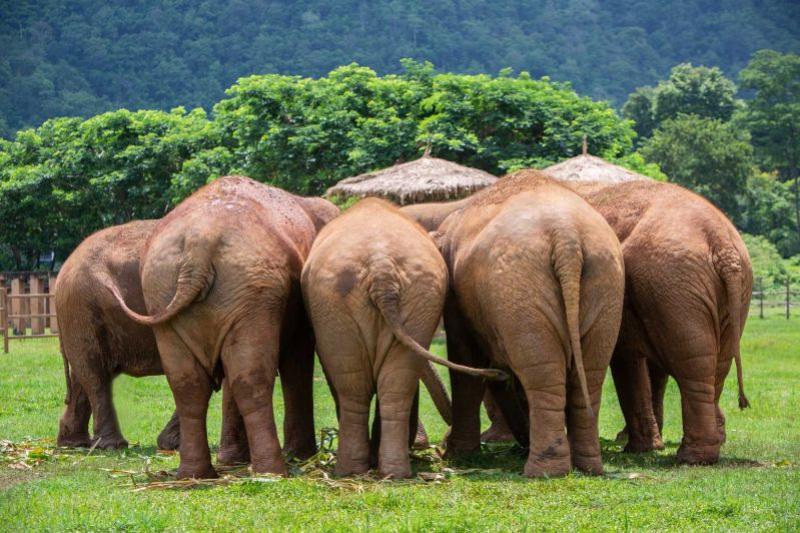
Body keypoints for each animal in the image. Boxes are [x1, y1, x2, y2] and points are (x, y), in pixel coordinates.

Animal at [112, 176, 339, 479]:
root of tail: (198, 247)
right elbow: (297, 357)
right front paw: (299, 456)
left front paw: (234, 461)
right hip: (248, 292)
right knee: (251, 377)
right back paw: (273, 472)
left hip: (168, 292)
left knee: (189, 383)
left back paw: (195, 474)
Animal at [301, 198, 506, 478]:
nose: (442, 443)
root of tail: (381, 269)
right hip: (397, 297)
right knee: (385, 382)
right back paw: (383, 472)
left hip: (361, 300)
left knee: (362, 383)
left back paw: (364, 471)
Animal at [434, 169, 625, 477]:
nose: (440, 445)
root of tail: (567, 236)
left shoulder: (457, 300)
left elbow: (467, 361)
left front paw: (457, 455)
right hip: (605, 284)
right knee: (590, 370)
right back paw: (587, 467)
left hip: (521, 287)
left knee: (541, 373)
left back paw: (543, 471)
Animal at [564, 179, 752, 465]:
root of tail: (720, 241)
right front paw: (647, 445)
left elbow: (627, 359)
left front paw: (639, 447)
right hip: (711, 292)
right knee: (715, 364)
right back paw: (709, 445)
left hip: (674, 283)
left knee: (692, 364)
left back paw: (692, 457)